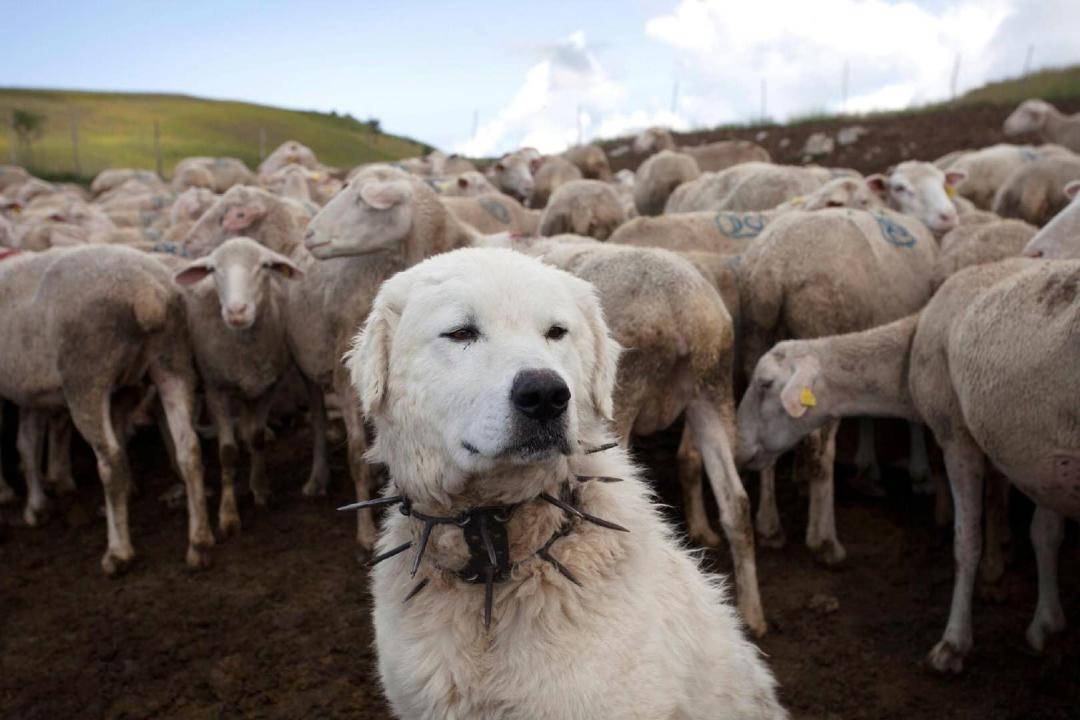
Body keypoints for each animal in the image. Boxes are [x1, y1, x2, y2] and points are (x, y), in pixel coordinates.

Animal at [0, 245, 212, 569]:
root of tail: (146, 291)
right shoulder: (31, 394)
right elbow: (27, 445)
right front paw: (36, 507)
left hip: (86, 377)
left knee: (110, 460)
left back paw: (118, 552)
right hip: (172, 358)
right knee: (188, 445)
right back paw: (199, 543)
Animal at [171, 236, 304, 535]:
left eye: (264, 266)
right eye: (213, 269)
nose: (236, 311)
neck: (244, 347)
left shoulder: (267, 387)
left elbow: (256, 437)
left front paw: (261, 490)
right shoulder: (216, 390)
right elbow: (227, 452)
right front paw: (228, 514)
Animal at [304, 211, 768, 639]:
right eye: (460, 332)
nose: (545, 396)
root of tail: (687, 311)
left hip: (630, 397)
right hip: (712, 388)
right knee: (735, 501)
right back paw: (750, 609)